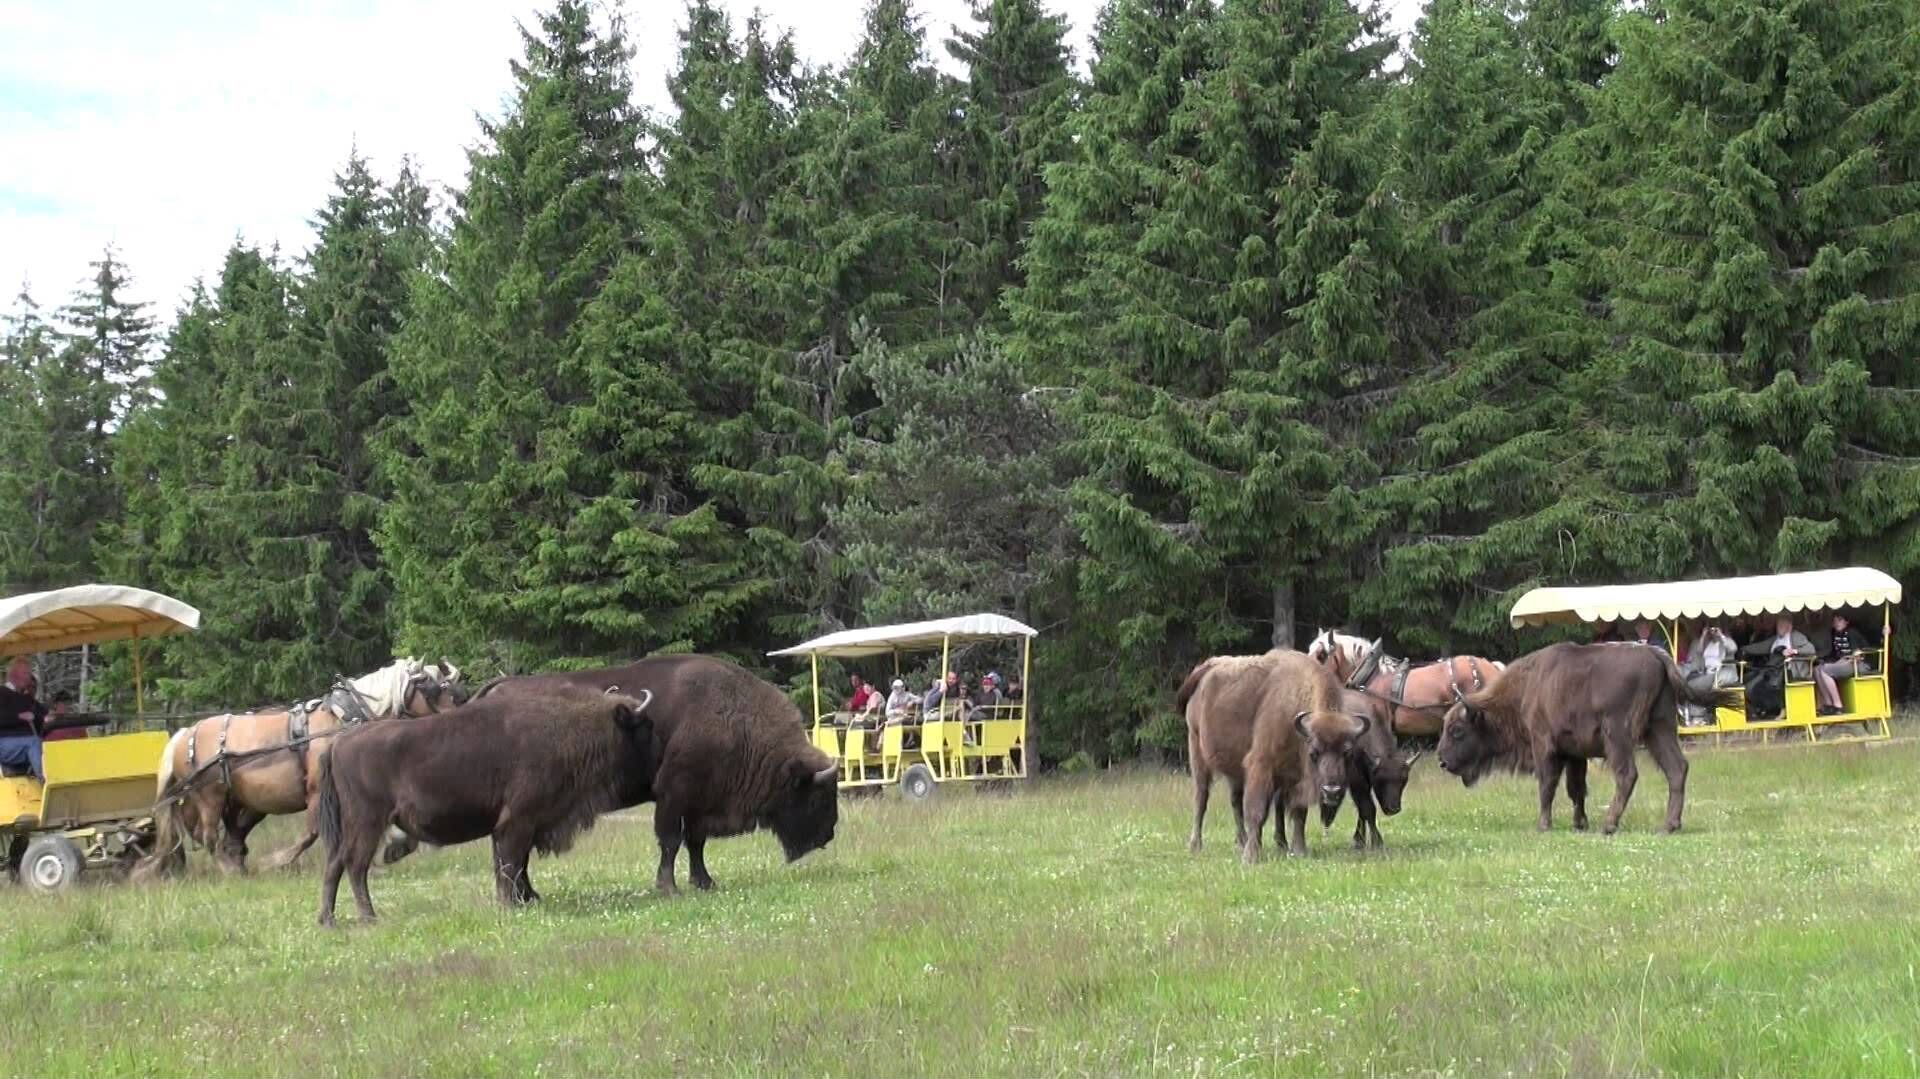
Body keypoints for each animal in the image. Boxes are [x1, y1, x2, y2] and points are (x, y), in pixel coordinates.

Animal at [315, 686, 656, 926]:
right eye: (642, 726)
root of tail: (337, 744)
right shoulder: (517, 822)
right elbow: (511, 864)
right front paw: (512, 904)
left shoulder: (519, 826)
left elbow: (515, 864)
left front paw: (526, 900)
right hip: (367, 823)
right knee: (355, 866)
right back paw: (368, 917)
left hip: (352, 828)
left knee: (335, 865)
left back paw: (328, 921)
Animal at [468, 654, 839, 895]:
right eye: (816, 796)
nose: (829, 834)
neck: (732, 714)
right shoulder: (674, 794)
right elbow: (671, 841)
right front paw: (668, 887)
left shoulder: (699, 803)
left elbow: (695, 843)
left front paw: (704, 883)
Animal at [1178, 649, 1353, 863]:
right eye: (1314, 753)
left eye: (1347, 752)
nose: (1332, 791)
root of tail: (1207, 667)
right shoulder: (1261, 765)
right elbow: (1257, 811)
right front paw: (1251, 857)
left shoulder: (1295, 779)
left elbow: (1298, 813)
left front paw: (1299, 851)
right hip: (1196, 750)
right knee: (1201, 798)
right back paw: (1196, 845)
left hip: (1235, 770)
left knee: (1235, 802)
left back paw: (1242, 841)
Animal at [1438, 642, 1738, 834]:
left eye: (1457, 730)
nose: (1442, 761)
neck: (1528, 687)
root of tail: (1655, 654)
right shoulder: (1574, 753)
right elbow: (1576, 789)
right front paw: (1579, 823)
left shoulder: (1544, 747)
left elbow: (1547, 786)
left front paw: (1543, 825)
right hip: (1659, 728)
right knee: (1677, 768)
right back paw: (1668, 826)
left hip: (1619, 735)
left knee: (1627, 774)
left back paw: (1609, 825)